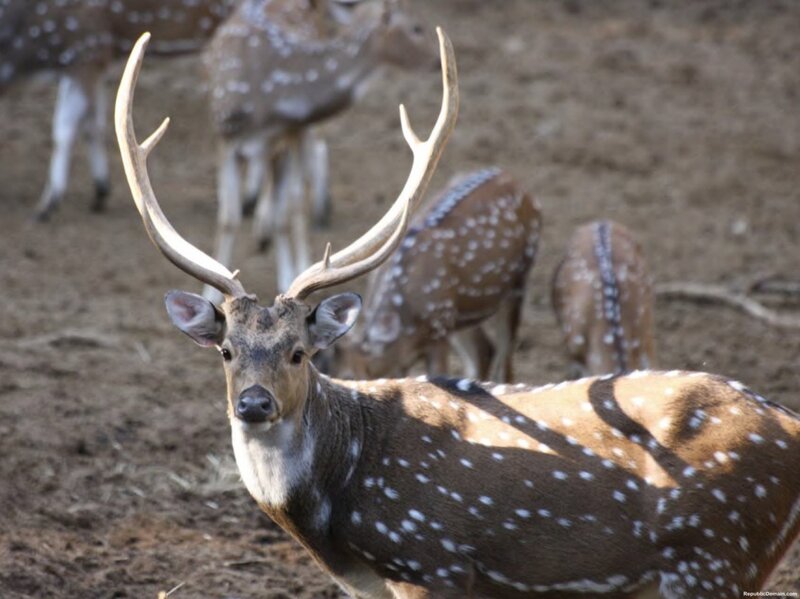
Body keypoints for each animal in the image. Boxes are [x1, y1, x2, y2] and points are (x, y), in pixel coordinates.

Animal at [0, 0, 238, 221]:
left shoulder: (87, 50)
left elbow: (63, 131)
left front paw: (46, 205)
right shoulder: (92, 64)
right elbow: (92, 125)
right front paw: (100, 191)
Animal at [203, 0, 434, 302]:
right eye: (416, 28)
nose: (438, 60)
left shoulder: (293, 130)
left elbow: (290, 207)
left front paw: (291, 275)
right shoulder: (226, 134)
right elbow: (228, 217)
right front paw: (211, 293)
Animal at [330, 167, 541, 383]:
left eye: (348, 376)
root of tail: (511, 178)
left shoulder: (438, 332)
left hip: (518, 283)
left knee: (505, 358)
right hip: (461, 314)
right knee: (483, 351)